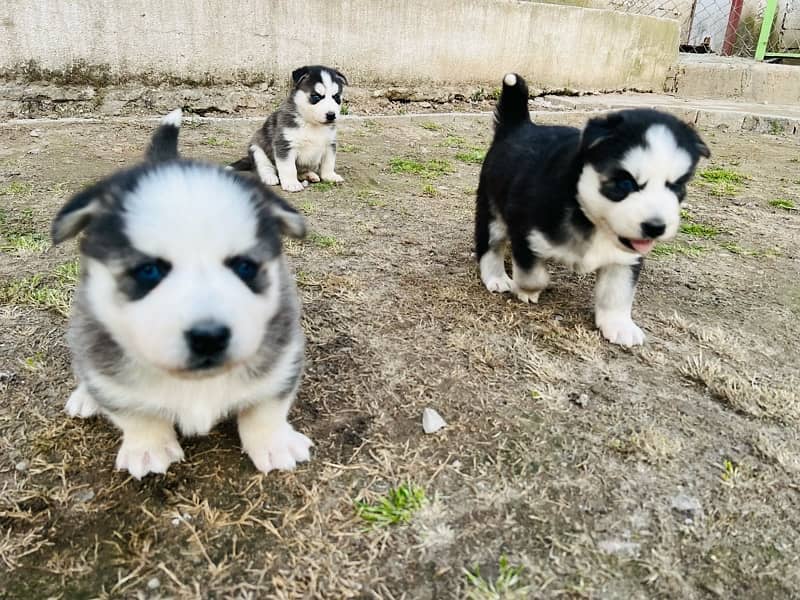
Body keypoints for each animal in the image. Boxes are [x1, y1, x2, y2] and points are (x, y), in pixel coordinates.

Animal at [51, 110, 314, 480]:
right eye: (149, 271)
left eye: (244, 266)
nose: (209, 337)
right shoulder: (106, 356)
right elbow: (131, 408)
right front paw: (147, 446)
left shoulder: (283, 352)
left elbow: (267, 403)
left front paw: (273, 441)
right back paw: (85, 396)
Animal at [472, 74, 708, 346]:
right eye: (625, 183)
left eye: (677, 185)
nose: (656, 227)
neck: (588, 214)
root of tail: (521, 126)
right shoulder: (525, 231)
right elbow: (533, 275)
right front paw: (526, 291)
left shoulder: (626, 258)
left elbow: (617, 292)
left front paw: (619, 325)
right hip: (491, 210)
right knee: (490, 245)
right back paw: (497, 277)